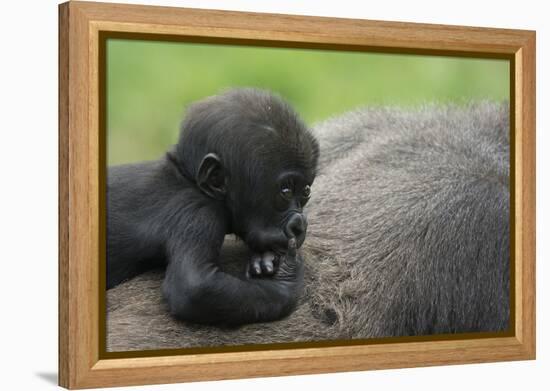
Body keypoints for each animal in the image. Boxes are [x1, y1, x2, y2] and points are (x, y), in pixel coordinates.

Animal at [106, 88, 320, 324]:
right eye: (285, 191)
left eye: (306, 192)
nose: (299, 226)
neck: (188, 179)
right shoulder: (199, 213)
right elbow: (194, 286)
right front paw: (284, 283)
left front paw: (265, 261)